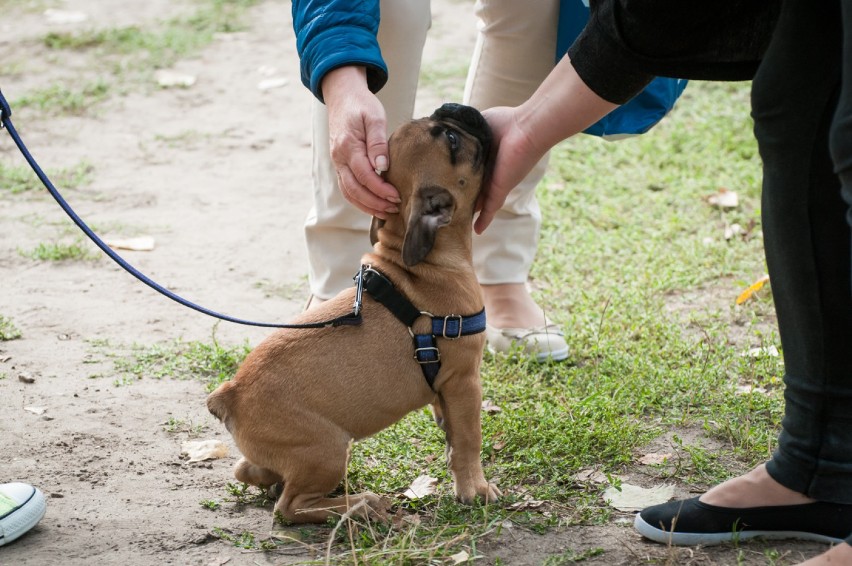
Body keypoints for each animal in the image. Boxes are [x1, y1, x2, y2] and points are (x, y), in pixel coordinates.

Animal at [206, 104, 500, 524]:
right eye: (452, 140)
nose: (457, 108)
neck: (427, 262)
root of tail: (230, 394)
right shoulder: (464, 382)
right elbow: (469, 439)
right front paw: (475, 488)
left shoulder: (445, 389)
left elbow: (451, 433)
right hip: (327, 447)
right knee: (290, 507)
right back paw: (361, 504)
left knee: (249, 470)